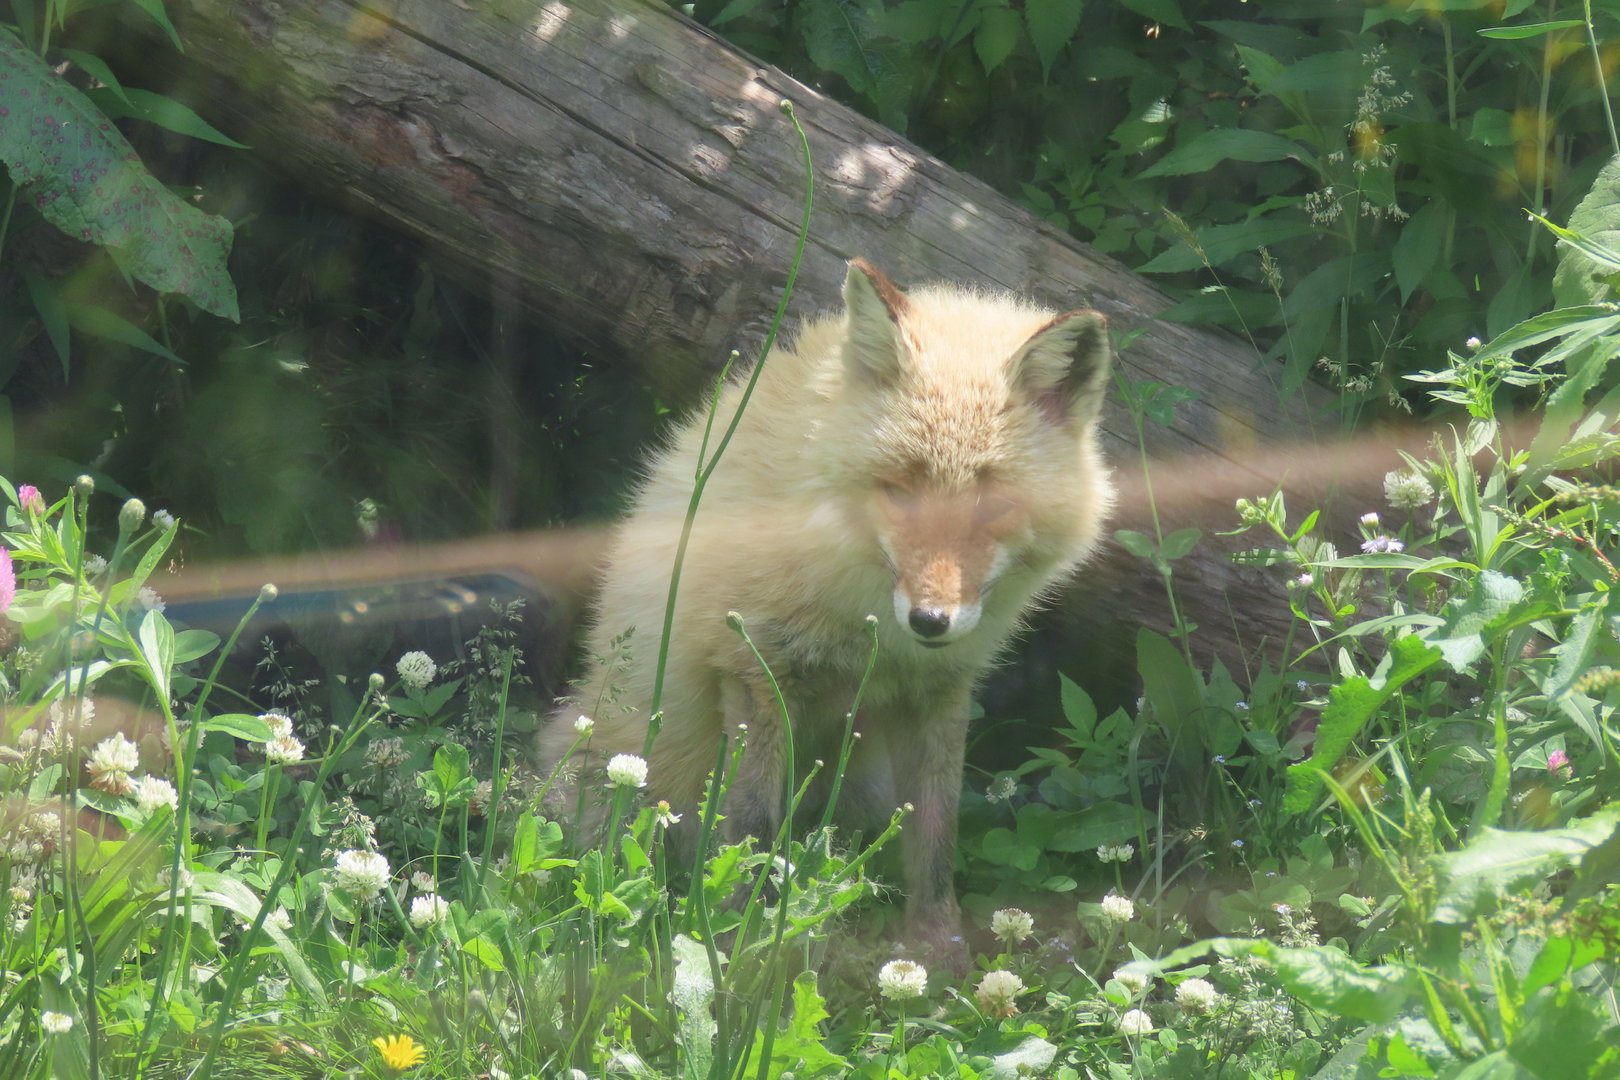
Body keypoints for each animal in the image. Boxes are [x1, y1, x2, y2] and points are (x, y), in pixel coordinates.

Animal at [539, 259, 1115, 963]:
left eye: (992, 507)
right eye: (900, 493)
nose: (930, 621)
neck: (869, 628)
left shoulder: (941, 690)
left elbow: (935, 834)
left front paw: (939, 950)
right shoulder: (755, 670)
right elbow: (749, 829)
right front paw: (734, 940)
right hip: (622, 778)